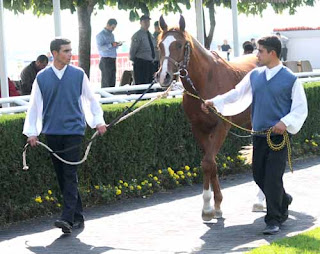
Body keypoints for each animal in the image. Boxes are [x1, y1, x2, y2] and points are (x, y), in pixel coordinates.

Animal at [156, 15, 258, 221]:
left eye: (179, 45)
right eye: (160, 45)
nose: (164, 76)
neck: (205, 82)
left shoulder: (221, 126)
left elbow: (208, 162)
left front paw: (209, 207)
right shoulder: (199, 128)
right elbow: (209, 164)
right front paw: (213, 206)